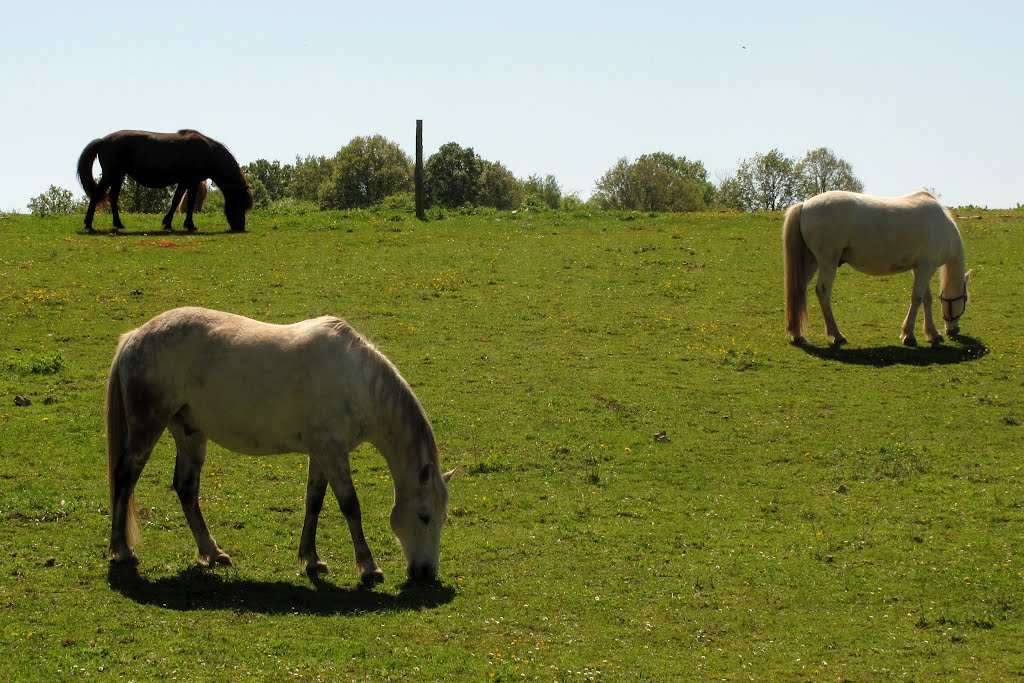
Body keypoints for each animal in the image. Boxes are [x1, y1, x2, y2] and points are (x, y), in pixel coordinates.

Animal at [78, 129, 253, 233]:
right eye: (240, 204)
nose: (240, 227)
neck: (207, 152)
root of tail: (103, 140)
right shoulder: (191, 180)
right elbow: (186, 203)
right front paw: (188, 225)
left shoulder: (185, 181)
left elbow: (177, 201)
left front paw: (169, 223)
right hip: (111, 175)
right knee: (97, 195)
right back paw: (88, 224)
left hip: (118, 176)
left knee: (113, 197)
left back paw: (118, 224)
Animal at [105, 309, 454, 581]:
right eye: (424, 516)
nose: (426, 573)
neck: (356, 380)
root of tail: (134, 337)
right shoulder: (333, 452)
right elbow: (350, 506)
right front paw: (368, 568)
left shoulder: (322, 453)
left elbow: (314, 503)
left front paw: (311, 559)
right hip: (147, 426)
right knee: (125, 478)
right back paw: (123, 550)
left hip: (190, 433)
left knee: (186, 489)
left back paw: (212, 552)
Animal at [786, 188, 970, 344]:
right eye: (966, 298)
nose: (954, 330)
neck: (943, 226)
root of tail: (805, 206)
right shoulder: (926, 268)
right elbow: (917, 299)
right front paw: (909, 335)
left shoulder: (920, 269)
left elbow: (926, 299)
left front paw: (933, 333)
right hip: (827, 263)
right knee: (823, 293)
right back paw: (836, 335)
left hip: (811, 262)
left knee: (799, 290)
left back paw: (797, 334)